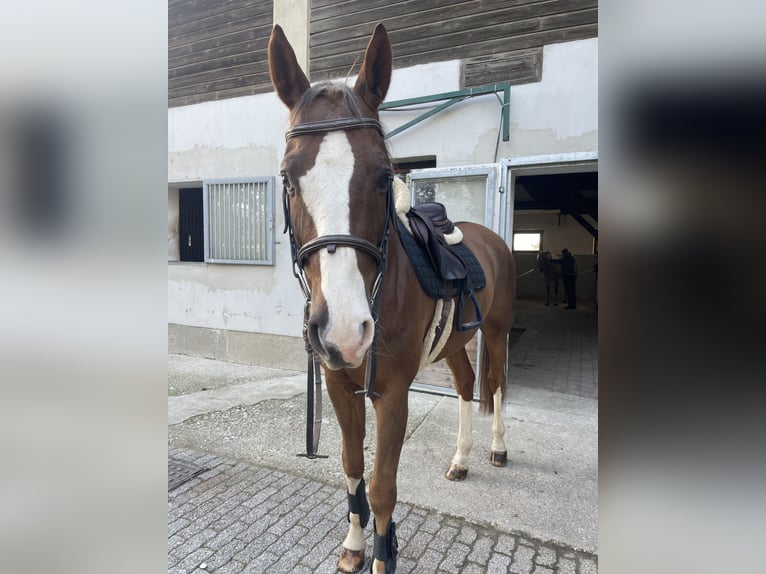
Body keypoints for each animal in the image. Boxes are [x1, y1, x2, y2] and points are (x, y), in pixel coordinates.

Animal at [269, 23, 516, 573]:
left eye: (385, 175)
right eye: (289, 178)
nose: (343, 331)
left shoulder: (394, 394)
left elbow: (383, 488)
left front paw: (383, 554)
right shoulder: (340, 387)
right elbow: (351, 467)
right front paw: (355, 546)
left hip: (497, 332)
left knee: (496, 384)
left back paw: (497, 450)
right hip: (454, 345)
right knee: (466, 386)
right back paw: (461, 460)